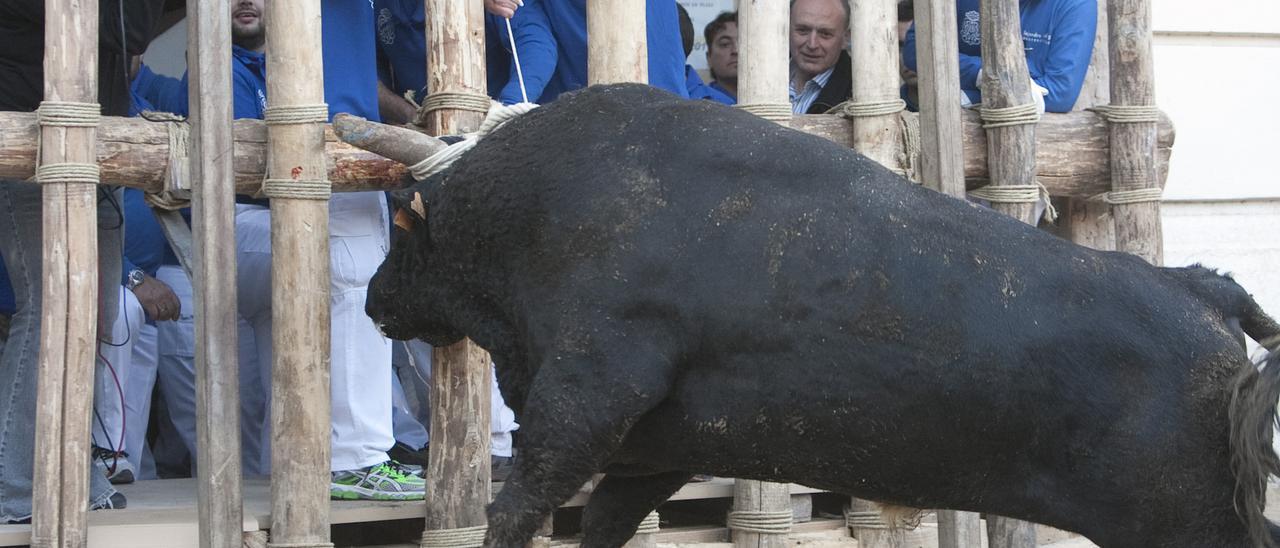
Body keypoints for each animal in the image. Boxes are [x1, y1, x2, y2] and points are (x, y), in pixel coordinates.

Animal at [363, 83, 1280, 545]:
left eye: (401, 226)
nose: (374, 299)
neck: (539, 202)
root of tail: (1202, 289)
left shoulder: (583, 400)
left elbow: (515, 513)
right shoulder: (646, 454)